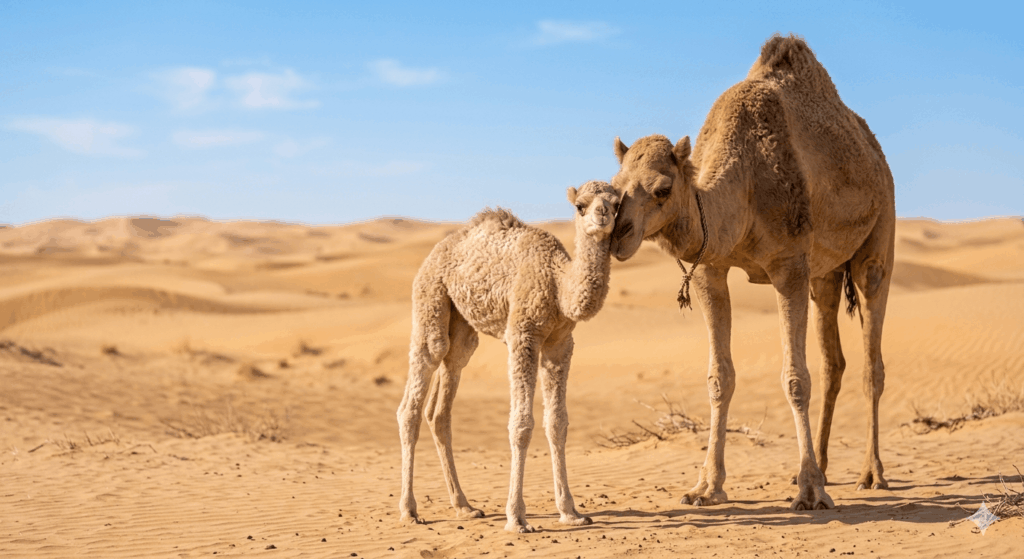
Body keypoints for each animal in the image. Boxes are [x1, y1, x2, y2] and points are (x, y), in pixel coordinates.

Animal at [397, 180, 620, 532]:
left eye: (617, 203)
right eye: (581, 205)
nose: (602, 215)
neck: (558, 283)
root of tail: (436, 251)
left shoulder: (560, 344)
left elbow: (557, 423)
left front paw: (571, 512)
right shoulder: (523, 335)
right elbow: (522, 424)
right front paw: (516, 517)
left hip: (462, 329)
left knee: (442, 402)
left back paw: (464, 506)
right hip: (430, 297)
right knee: (415, 395)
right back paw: (409, 510)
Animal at [609, 34, 895, 511]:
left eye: (663, 189)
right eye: (615, 187)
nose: (617, 235)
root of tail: (874, 149)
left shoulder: (789, 264)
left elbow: (795, 378)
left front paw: (810, 492)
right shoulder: (710, 269)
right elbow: (719, 377)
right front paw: (706, 486)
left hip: (879, 233)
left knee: (872, 360)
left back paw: (870, 473)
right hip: (824, 274)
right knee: (833, 361)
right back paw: (824, 466)